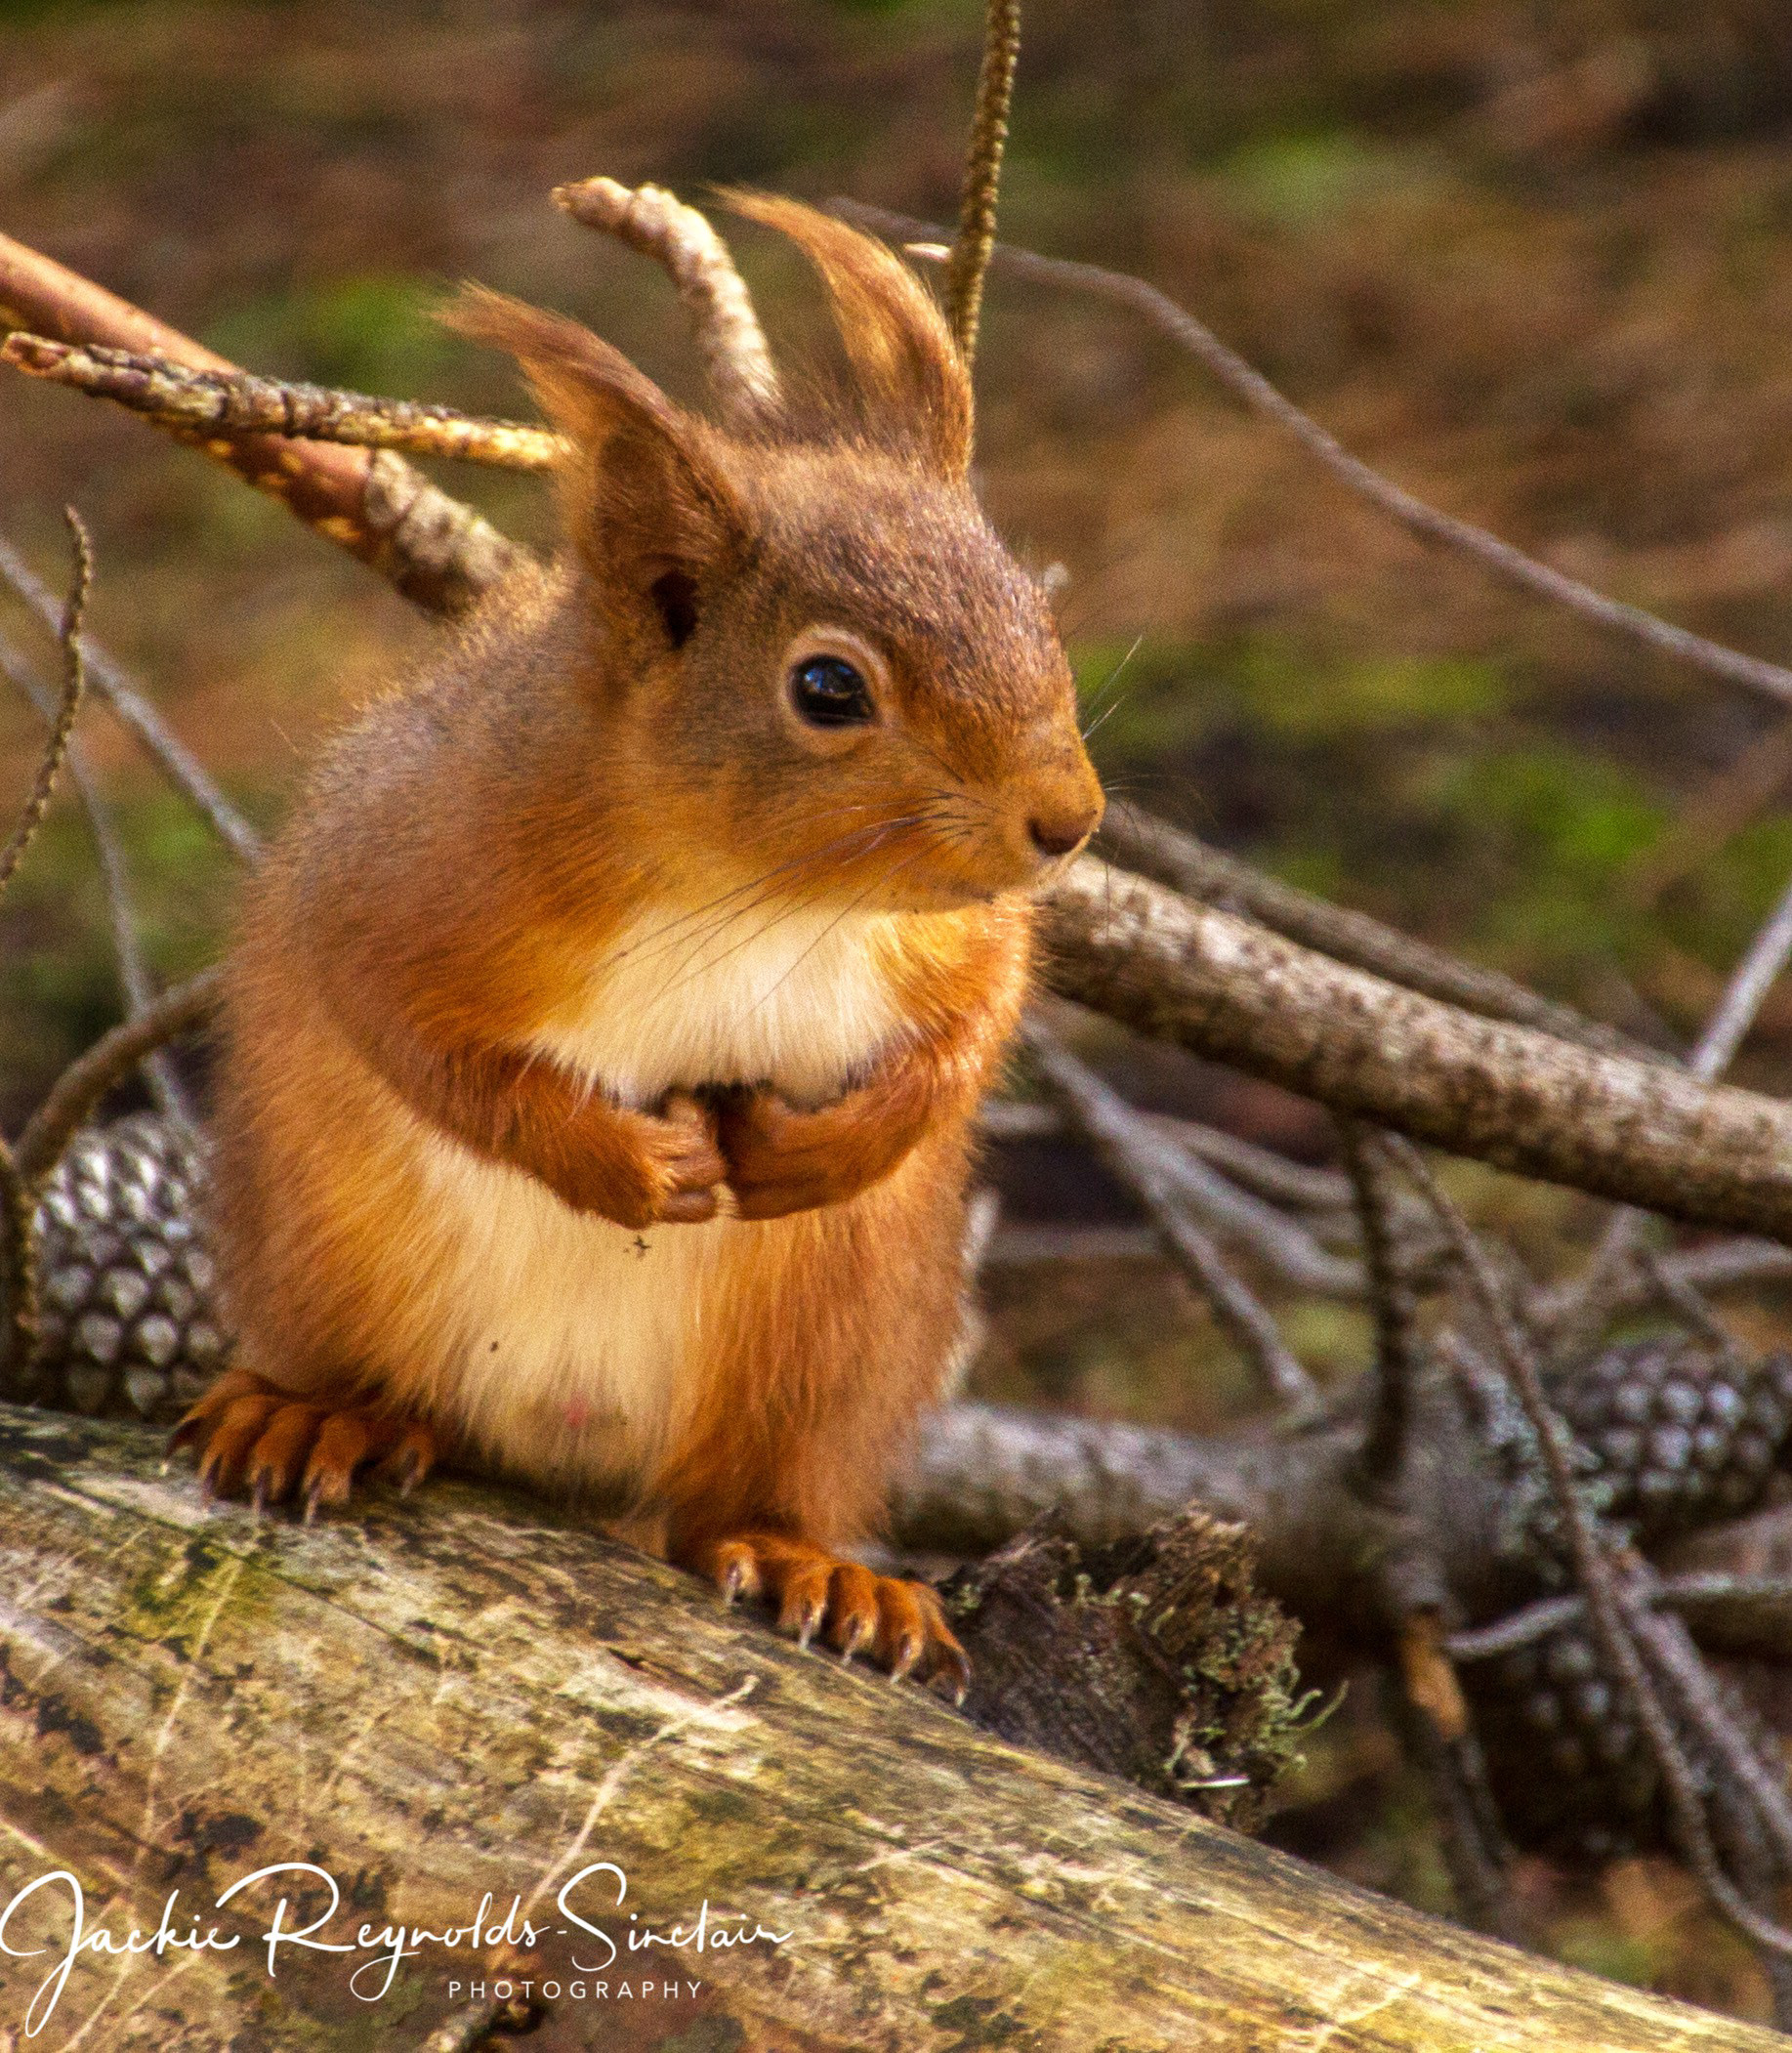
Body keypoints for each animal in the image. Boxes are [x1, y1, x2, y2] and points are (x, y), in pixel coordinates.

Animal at [172, 195, 1103, 1690]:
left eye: (1035, 606)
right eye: (826, 687)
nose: (1066, 821)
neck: (754, 897)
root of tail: (567, 1458)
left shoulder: (950, 933)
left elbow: (968, 1032)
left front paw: (822, 1147)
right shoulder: (409, 866)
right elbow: (404, 1026)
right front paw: (624, 1162)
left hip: (821, 1356)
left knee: (732, 1505)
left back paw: (815, 1566)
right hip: (332, 1261)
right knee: (378, 1384)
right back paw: (315, 1415)